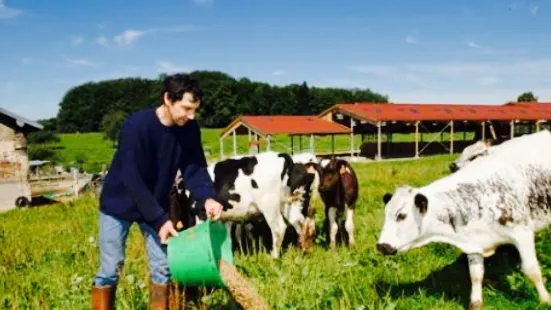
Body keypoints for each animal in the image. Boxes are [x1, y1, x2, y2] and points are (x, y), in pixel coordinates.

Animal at [378, 130, 551, 308]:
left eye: (401, 216)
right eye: (386, 215)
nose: (382, 246)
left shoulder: (522, 233)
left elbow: (532, 269)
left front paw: (545, 300)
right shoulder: (474, 243)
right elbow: (475, 275)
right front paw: (475, 303)